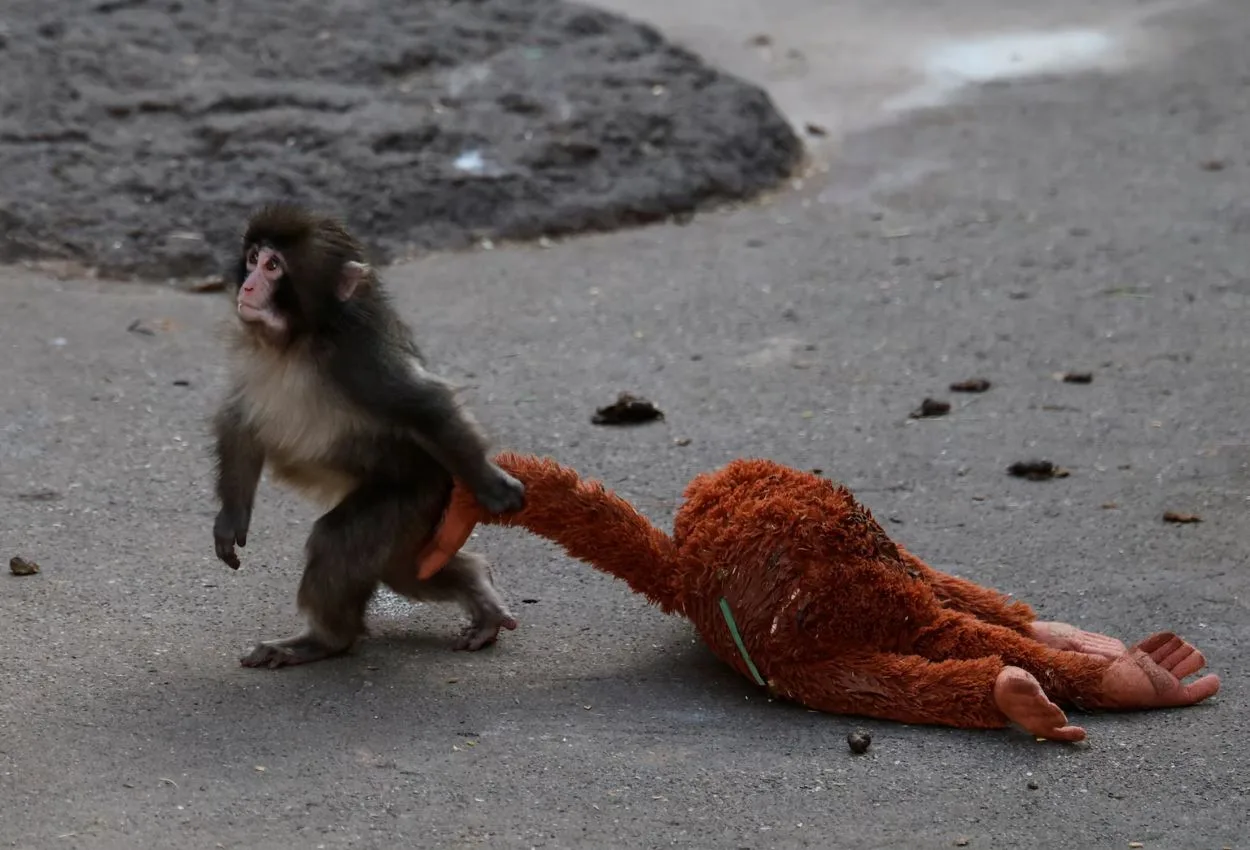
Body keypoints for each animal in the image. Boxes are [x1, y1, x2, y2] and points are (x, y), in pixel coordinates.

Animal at [210, 203, 525, 669]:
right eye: (252, 258)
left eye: (273, 266)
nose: (248, 285)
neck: (298, 340)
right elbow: (239, 421)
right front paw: (231, 516)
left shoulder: (359, 358)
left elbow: (425, 403)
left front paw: (491, 484)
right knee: (407, 569)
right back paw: (477, 584)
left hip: (415, 494)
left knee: (339, 542)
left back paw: (326, 640)